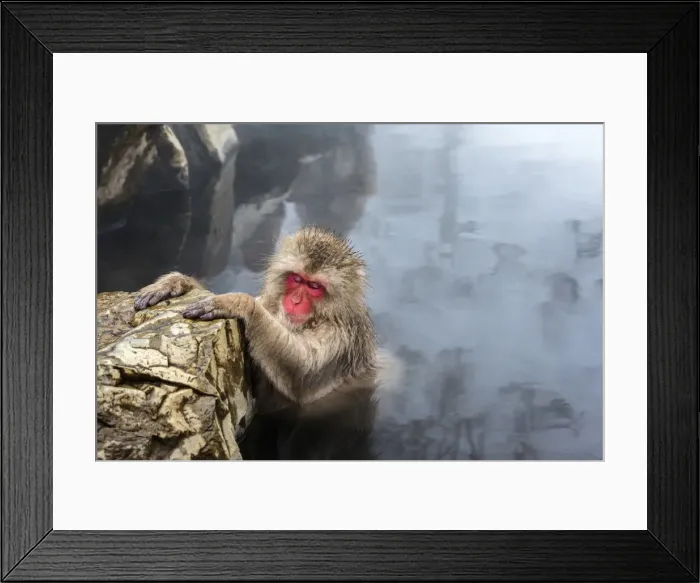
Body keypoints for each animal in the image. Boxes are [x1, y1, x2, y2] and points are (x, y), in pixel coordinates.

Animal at [133, 225, 389, 460]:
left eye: (314, 287)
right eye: (297, 279)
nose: (295, 301)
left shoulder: (340, 339)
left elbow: (302, 375)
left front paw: (240, 304)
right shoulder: (272, 304)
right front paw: (177, 283)